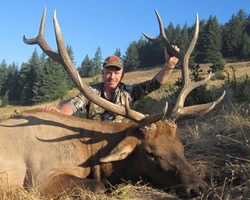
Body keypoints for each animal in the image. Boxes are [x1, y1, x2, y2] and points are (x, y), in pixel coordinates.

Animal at [0, 9, 225, 197]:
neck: (89, 154)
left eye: (180, 146)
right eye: (151, 153)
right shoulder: (40, 180)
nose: (199, 187)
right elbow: (99, 185)